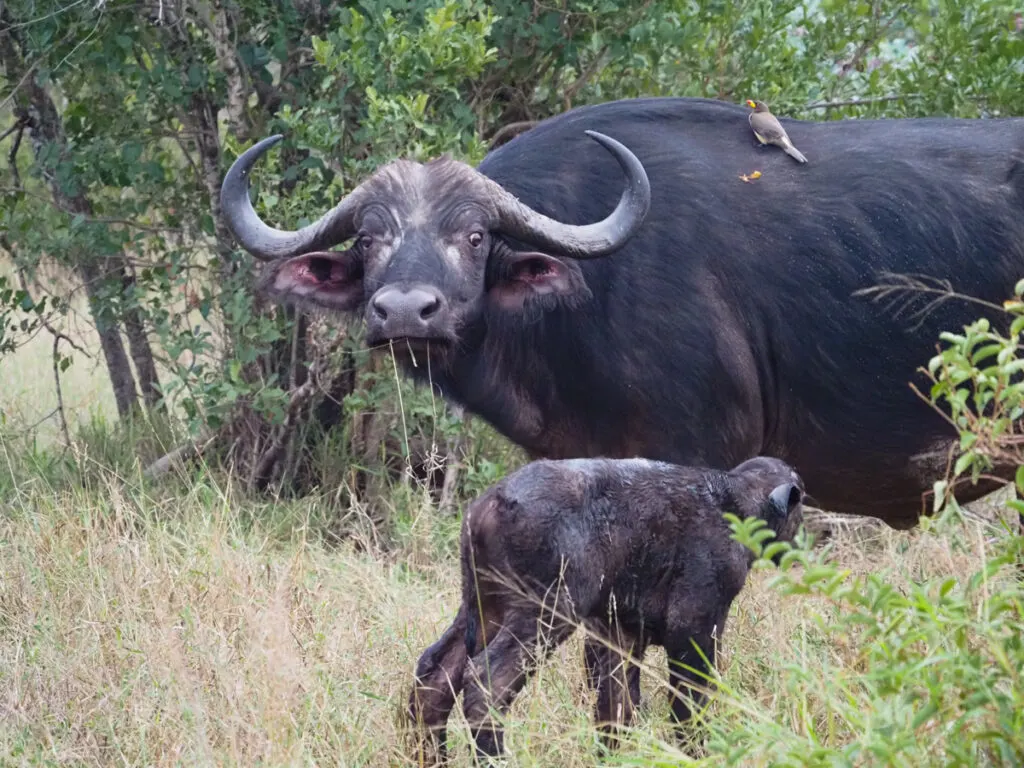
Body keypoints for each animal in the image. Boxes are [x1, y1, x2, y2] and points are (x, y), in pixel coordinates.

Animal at [405, 456, 798, 765]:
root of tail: (488, 505)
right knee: (486, 684)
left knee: (435, 678)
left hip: (484, 611)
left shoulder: (618, 638)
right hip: (544, 615)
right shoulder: (694, 630)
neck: (736, 503)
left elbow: (616, 711)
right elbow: (689, 707)